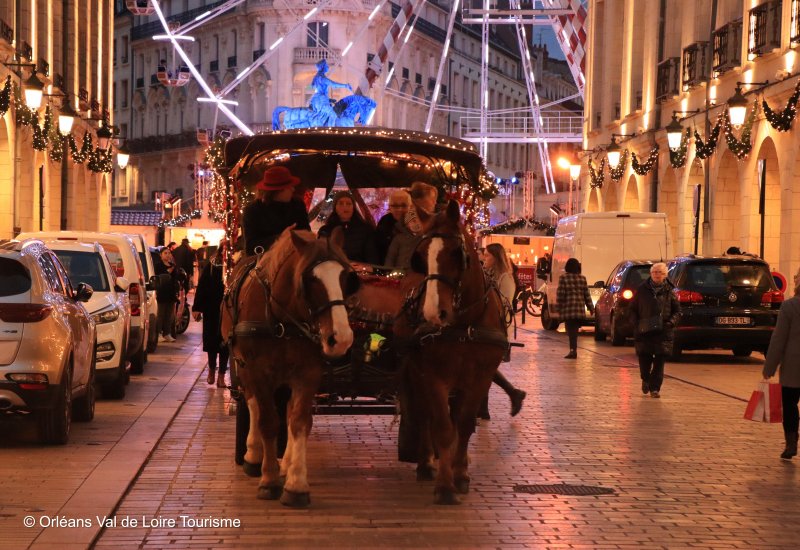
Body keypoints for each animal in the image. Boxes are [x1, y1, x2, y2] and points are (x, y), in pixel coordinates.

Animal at [219, 229, 356, 508]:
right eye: (310, 279)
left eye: (345, 277)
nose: (341, 338)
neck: (282, 320)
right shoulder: (258, 372)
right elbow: (268, 422)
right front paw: (269, 480)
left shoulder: (308, 374)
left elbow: (300, 421)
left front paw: (296, 483)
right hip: (243, 367)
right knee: (253, 405)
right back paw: (253, 456)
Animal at [404, 202, 510, 504]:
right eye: (420, 256)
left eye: (456, 253)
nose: (433, 313)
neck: (465, 324)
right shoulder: (434, 374)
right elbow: (441, 426)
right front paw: (444, 485)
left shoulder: (482, 376)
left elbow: (464, 424)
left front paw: (460, 473)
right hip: (417, 372)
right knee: (425, 414)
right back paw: (427, 463)